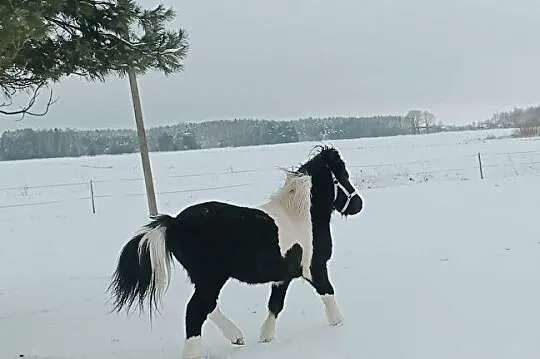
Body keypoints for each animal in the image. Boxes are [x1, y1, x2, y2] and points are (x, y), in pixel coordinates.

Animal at [108, 145, 362, 358]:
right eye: (343, 176)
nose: (358, 204)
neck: (300, 217)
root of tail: (174, 224)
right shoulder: (314, 268)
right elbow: (327, 293)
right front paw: (338, 324)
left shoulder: (282, 277)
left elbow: (275, 305)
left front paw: (266, 336)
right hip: (211, 278)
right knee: (195, 310)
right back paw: (196, 352)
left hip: (204, 279)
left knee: (208, 307)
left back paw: (237, 337)